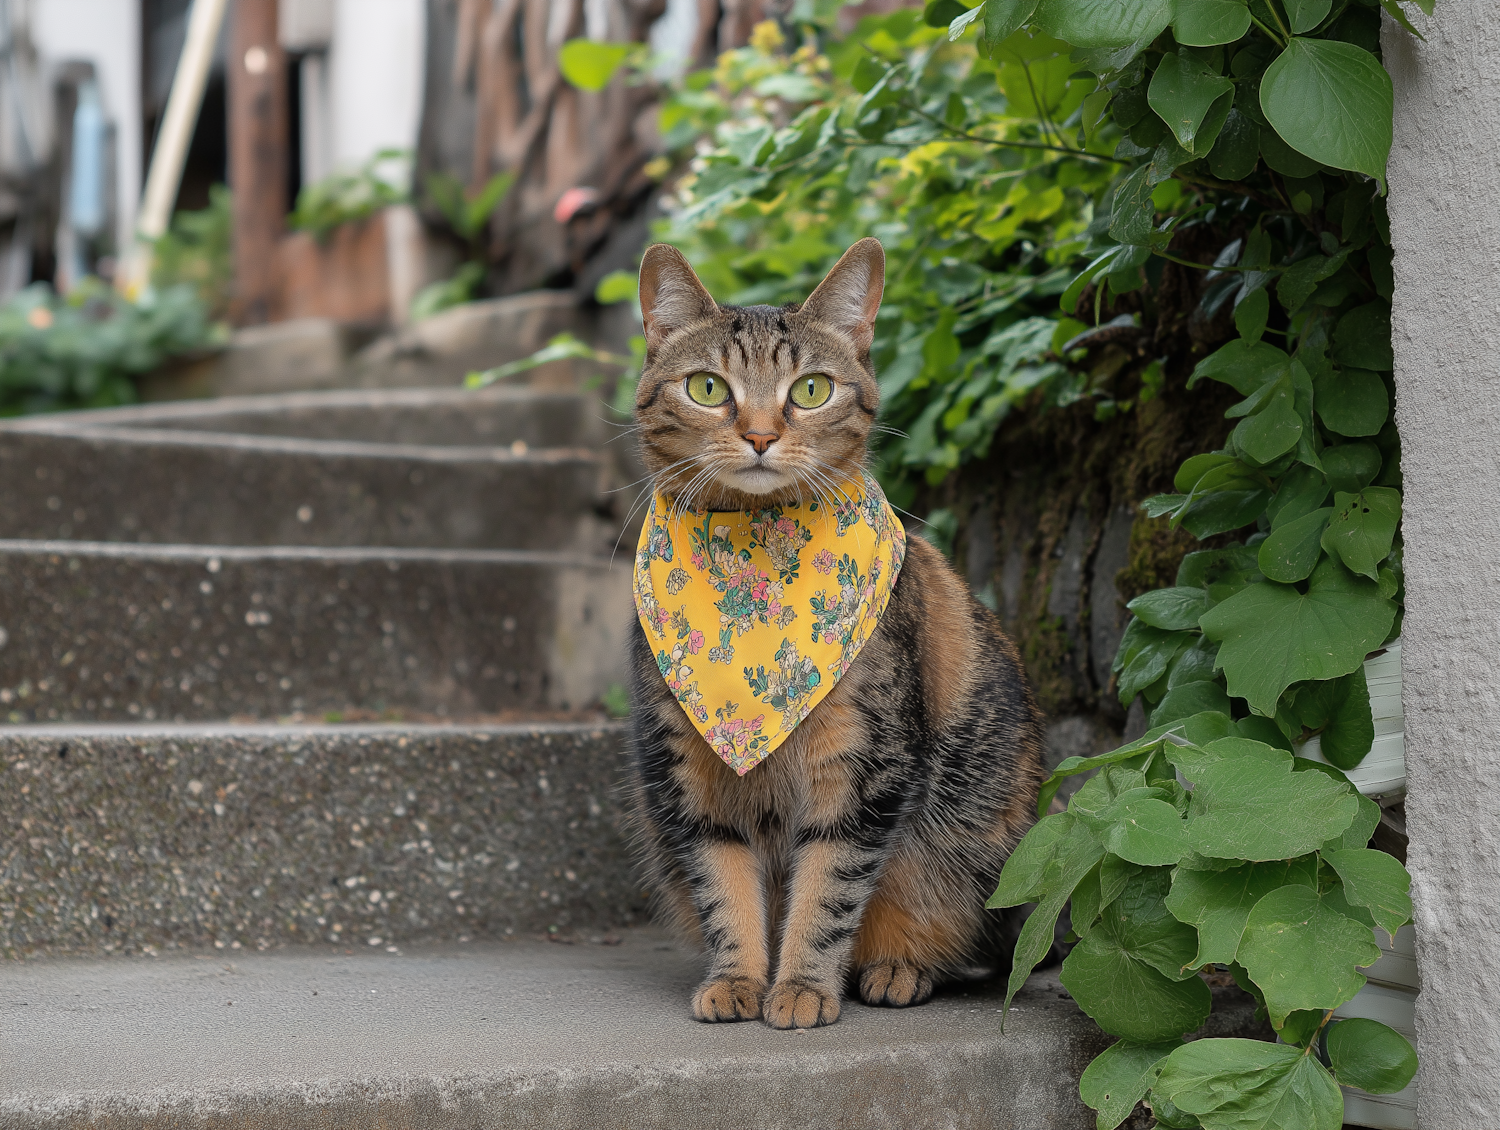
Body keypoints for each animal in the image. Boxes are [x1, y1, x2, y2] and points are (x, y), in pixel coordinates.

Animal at [621, 240, 1044, 1032]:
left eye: (811, 390)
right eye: (707, 388)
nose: (760, 435)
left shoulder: (864, 768)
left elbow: (827, 892)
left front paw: (801, 987)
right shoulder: (689, 776)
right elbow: (724, 888)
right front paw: (739, 979)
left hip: (975, 828)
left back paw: (898, 970)